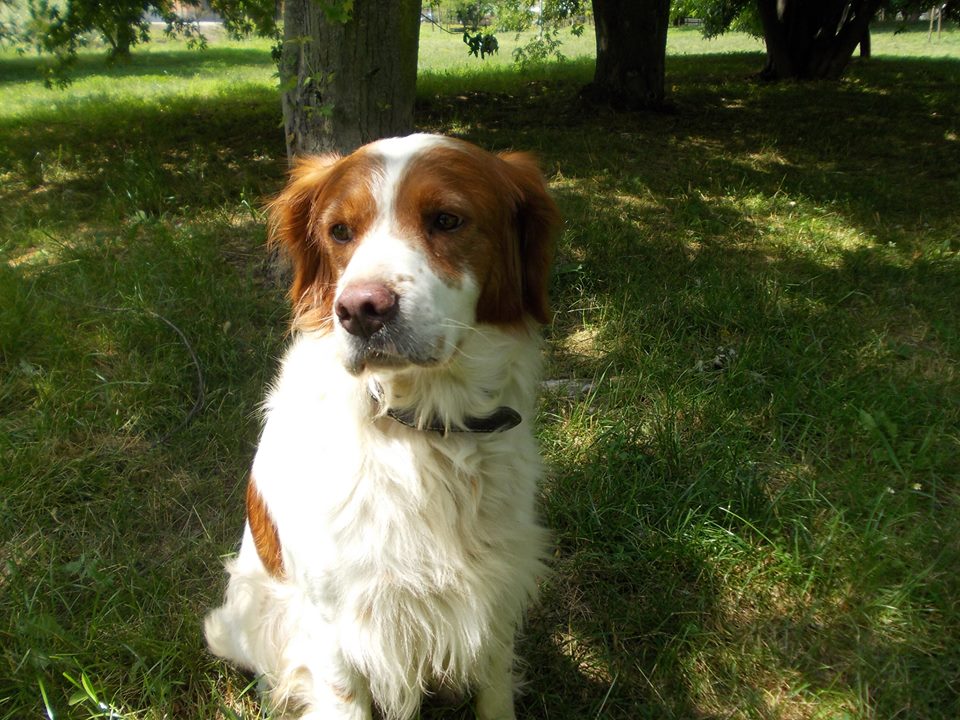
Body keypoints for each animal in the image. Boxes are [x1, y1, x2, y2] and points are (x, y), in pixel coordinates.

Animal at [206, 135, 560, 720]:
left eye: (446, 219)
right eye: (339, 231)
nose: (360, 310)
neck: (424, 428)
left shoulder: (495, 593)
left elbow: (494, 690)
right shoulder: (334, 622)